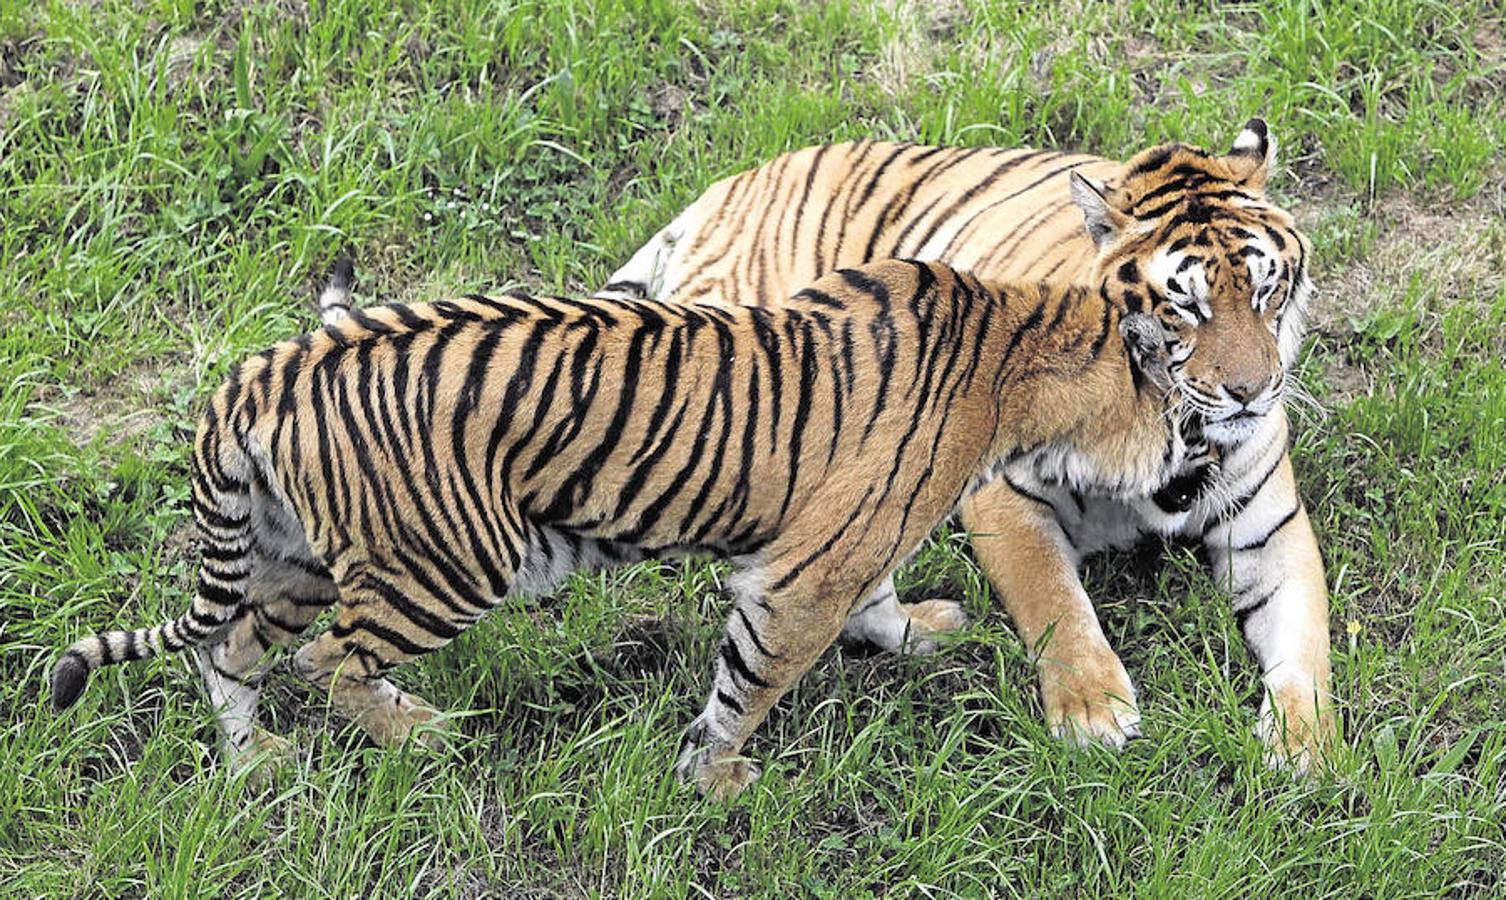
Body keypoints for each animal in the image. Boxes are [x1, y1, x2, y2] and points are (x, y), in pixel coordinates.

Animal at [53, 257, 1186, 800]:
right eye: (1189, 409)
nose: (1186, 475)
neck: (1027, 348)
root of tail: (265, 369)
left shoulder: (847, 542)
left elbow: (879, 605)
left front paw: (922, 633)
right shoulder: (803, 576)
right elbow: (751, 684)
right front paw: (716, 778)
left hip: (296, 559)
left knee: (233, 650)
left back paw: (254, 764)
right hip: (448, 562)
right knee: (326, 662)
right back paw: (417, 732)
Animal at [593, 118, 1337, 767]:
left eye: (1267, 289)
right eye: (1185, 305)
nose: (1251, 392)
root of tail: (734, 183)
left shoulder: (1271, 530)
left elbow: (1307, 643)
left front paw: (1306, 746)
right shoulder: (1005, 498)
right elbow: (1055, 601)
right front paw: (1093, 711)